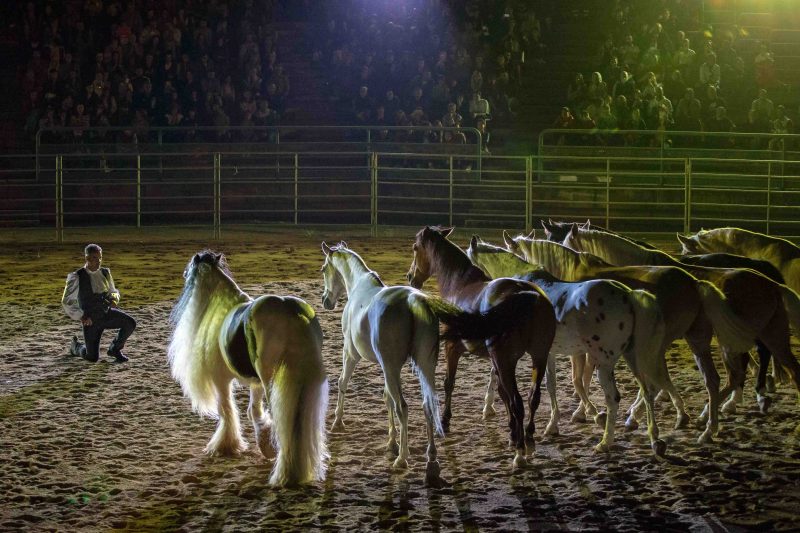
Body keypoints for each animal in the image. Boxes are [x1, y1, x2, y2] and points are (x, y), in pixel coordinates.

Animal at [168, 251, 328, 487]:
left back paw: (284, 472)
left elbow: (226, 409)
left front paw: (226, 445)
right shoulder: (255, 382)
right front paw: (265, 444)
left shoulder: (221, 379)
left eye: (191, 267)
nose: (184, 273)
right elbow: (254, 410)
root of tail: (290, 311)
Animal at [320, 242, 528, 486]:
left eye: (324, 268)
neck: (360, 287)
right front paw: (391, 442)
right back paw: (432, 463)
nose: (326, 301)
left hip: (392, 367)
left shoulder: (352, 355)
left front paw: (338, 422)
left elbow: (344, 383)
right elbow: (386, 397)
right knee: (428, 406)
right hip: (424, 366)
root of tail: (413, 302)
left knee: (403, 407)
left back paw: (403, 459)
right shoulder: (386, 368)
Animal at [407, 226, 557, 469]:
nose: (410, 277)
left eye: (415, 248)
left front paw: (445, 421)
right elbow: (501, 393)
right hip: (538, 356)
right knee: (532, 398)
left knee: (518, 402)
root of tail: (527, 294)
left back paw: (520, 452)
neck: (460, 285)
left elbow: (449, 383)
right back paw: (528, 439)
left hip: (507, 361)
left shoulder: (453, 348)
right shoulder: (496, 361)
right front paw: (512, 431)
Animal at [466, 236, 678, 455]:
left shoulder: (533, 353)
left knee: (614, 397)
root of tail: (629, 296)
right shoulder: (549, 353)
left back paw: (605, 442)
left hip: (605, 363)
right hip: (633, 357)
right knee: (647, 390)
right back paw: (654, 438)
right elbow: (560, 383)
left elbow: (548, 385)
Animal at [505, 233, 755, 444]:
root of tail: (694, 282)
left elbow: (578, 380)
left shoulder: (583, 350)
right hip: (694, 339)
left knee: (656, 379)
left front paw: (585, 414)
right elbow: (579, 380)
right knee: (711, 378)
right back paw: (704, 422)